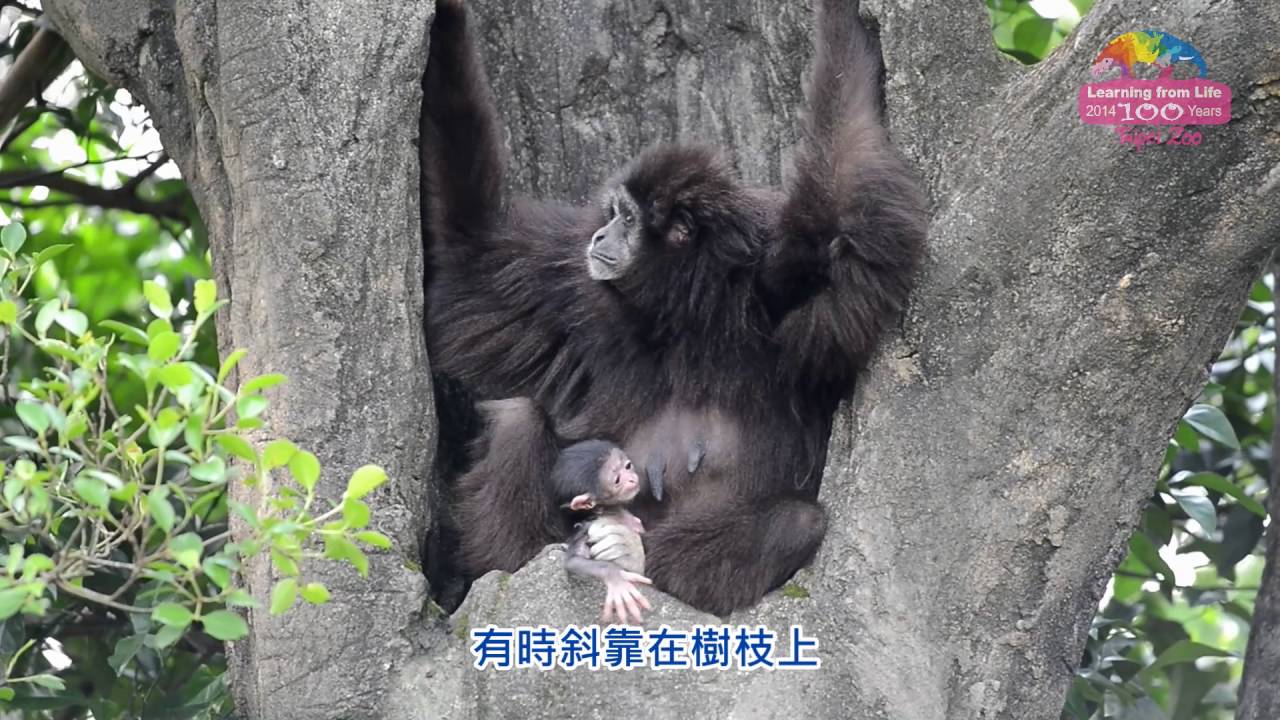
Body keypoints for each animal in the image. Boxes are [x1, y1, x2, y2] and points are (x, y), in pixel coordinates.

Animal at [422, 0, 928, 615]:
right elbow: (471, 258)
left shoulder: (792, 285)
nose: (600, 236)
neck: (691, 313)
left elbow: (845, 183)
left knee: (797, 522)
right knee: (519, 416)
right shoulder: (572, 287)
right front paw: (445, 20)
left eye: (626, 218)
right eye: (611, 215)